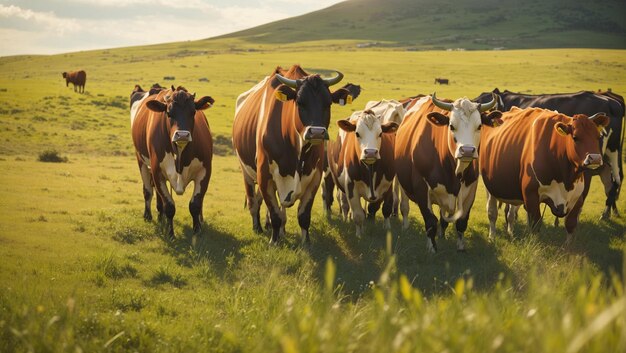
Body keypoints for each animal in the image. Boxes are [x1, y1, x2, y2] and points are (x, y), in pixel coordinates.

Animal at [130, 85, 214, 238]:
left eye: (193, 112)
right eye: (168, 113)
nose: (182, 135)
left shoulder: (205, 171)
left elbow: (196, 204)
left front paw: (197, 230)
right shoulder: (157, 171)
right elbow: (169, 206)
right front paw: (170, 233)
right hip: (141, 160)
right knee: (148, 190)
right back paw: (149, 215)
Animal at [232, 64, 358, 243]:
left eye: (328, 103)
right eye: (300, 102)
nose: (317, 132)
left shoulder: (314, 176)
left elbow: (303, 215)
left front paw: (305, 241)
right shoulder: (264, 175)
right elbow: (274, 212)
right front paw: (274, 241)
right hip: (246, 171)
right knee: (253, 201)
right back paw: (258, 227)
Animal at [392, 93, 500, 250]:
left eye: (479, 126)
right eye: (451, 126)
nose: (467, 150)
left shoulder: (470, 190)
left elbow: (461, 222)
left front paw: (460, 247)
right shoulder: (421, 187)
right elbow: (431, 221)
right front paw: (432, 248)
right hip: (402, 182)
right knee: (405, 205)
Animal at [480, 107, 608, 243]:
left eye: (598, 136)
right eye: (575, 137)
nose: (595, 158)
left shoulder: (578, 198)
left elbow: (570, 225)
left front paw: (567, 247)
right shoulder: (531, 196)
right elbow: (535, 225)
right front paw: (534, 245)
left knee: (510, 213)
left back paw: (510, 232)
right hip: (490, 187)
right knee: (492, 212)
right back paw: (492, 236)